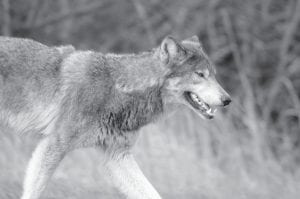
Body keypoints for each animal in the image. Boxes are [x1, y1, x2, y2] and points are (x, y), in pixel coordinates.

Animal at [0, 35, 231, 199]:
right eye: (200, 75)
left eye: (214, 75)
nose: (228, 99)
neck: (118, 89)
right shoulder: (54, 145)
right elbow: (34, 190)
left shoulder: (117, 156)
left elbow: (152, 193)